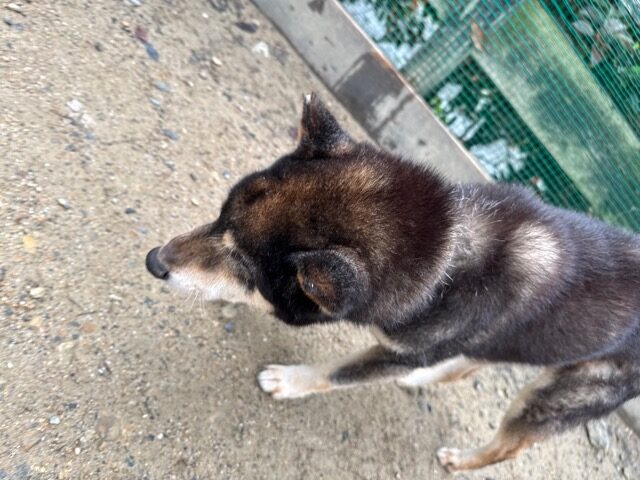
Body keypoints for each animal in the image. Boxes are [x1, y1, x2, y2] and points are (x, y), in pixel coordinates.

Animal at [145, 93, 640, 471]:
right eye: (220, 217)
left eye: (245, 265)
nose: (154, 261)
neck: (450, 256)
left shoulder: (397, 350)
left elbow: (336, 373)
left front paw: (290, 380)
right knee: (469, 363)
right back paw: (424, 378)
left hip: (556, 397)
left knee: (505, 446)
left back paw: (460, 460)